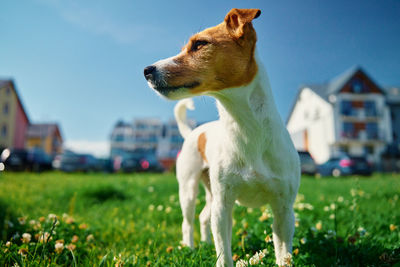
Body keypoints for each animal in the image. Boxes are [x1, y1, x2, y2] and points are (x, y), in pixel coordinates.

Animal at [145, 8, 300, 267]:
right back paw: (190, 247)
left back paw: (205, 244)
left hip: (211, 193)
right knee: (188, 222)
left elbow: (283, 255)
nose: (147, 70)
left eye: (199, 44)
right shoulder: (224, 205)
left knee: (203, 217)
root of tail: (193, 132)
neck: (248, 131)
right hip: (189, 189)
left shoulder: (284, 210)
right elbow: (224, 254)